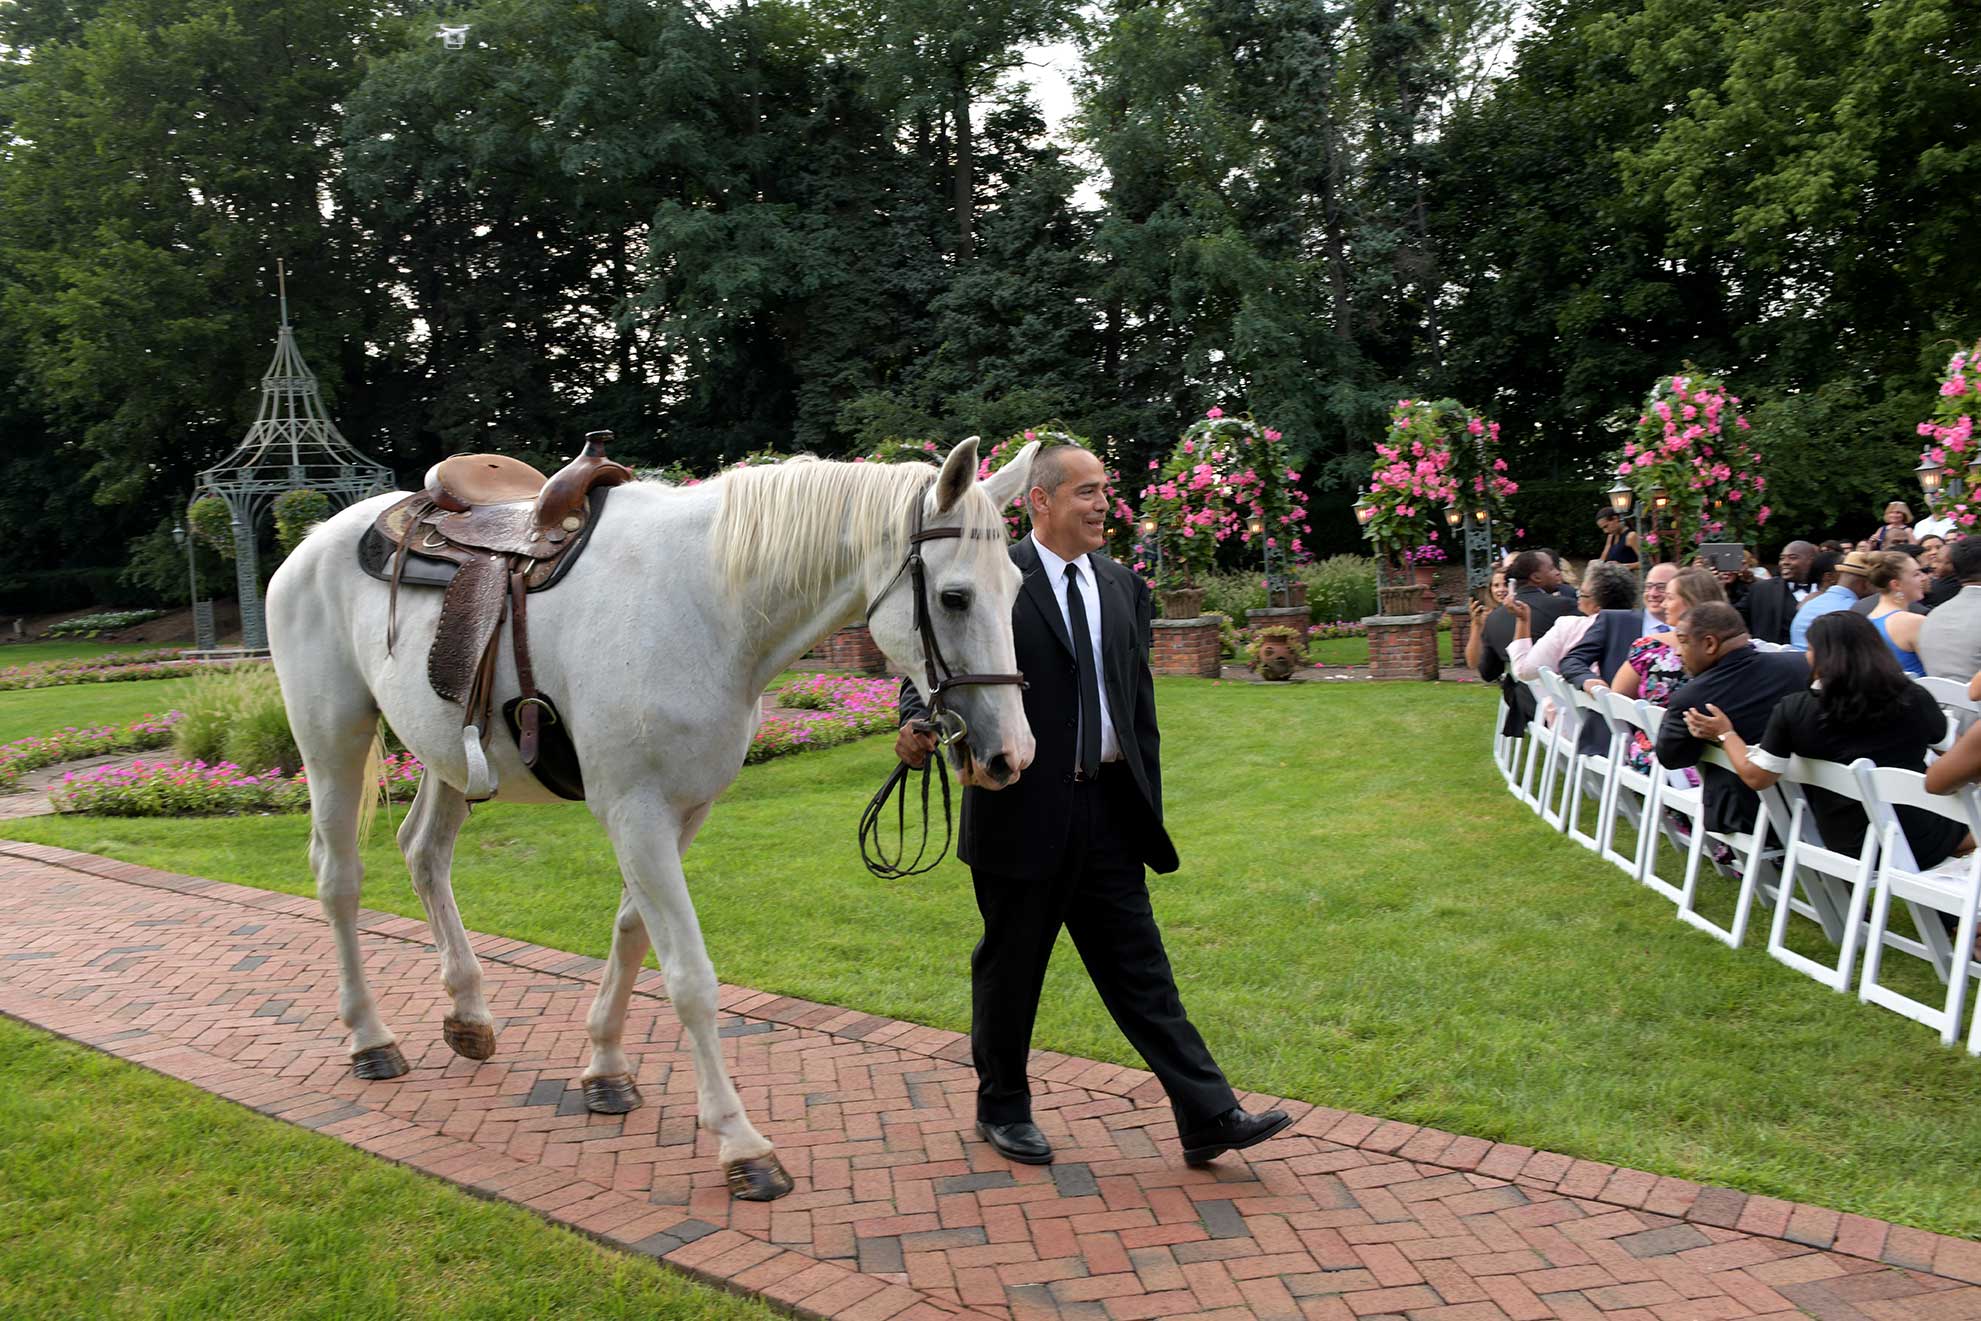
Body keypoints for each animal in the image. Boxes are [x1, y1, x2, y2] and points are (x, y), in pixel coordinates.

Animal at [265, 439, 1038, 1204]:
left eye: (1015, 590)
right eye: (954, 596)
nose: (1010, 755)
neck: (704, 604)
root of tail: (314, 539)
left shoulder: (681, 811)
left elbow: (632, 934)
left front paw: (605, 1069)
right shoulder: (635, 812)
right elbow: (689, 976)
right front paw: (740, 1142)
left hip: (449, 751)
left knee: (423, 853)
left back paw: (468, 1014)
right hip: (332, 738)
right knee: (338, 878)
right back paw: (370, 1039)